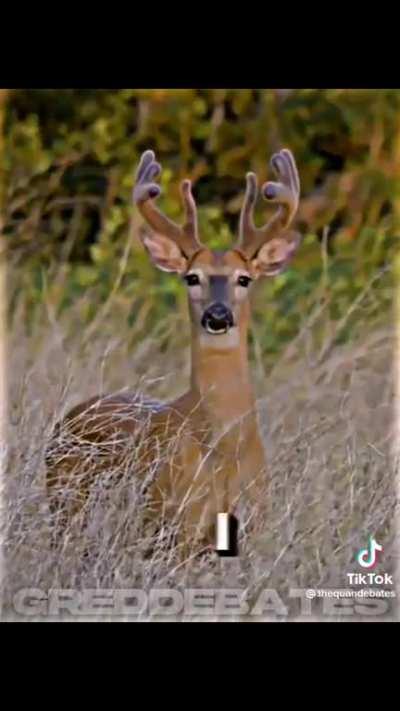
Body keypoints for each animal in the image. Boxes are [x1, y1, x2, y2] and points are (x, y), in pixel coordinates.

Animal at [45, 147, 302, 559]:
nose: (218, 315)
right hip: (64, 505)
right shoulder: (174, 525)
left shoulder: (253, 525)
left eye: (244, 278)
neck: (224, 448)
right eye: (192, 277)